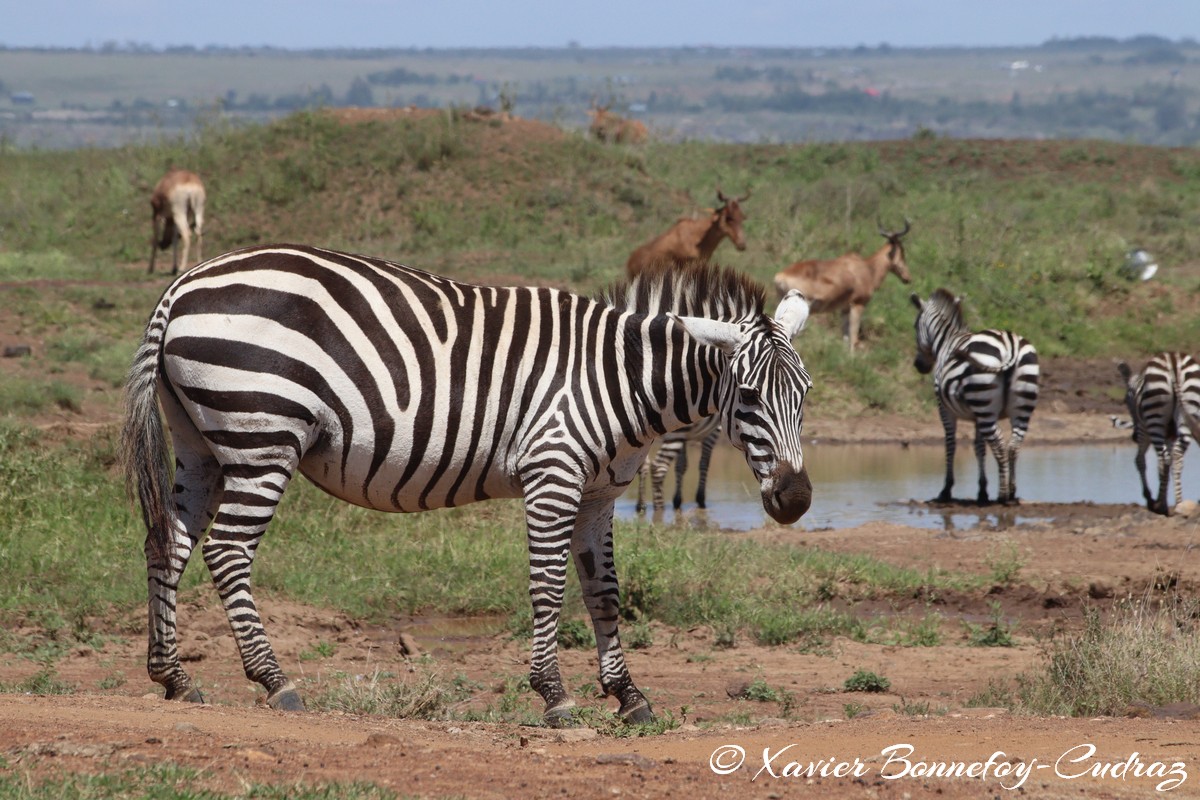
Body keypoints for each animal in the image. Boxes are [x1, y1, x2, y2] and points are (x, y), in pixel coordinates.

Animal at [121, 247, 816, 729]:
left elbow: (605, 595)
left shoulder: (598, 494)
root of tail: (181, 286)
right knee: (227, 551)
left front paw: (629, 697)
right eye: (748, 395)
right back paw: (275, 682)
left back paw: (174, 677)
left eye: (806, 394)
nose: (797, 501)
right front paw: (555, 697)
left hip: (201, 445)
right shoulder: (553, 474)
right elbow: (549, 588)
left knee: (167, 545)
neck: (619, 379)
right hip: (263, 435)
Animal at [772, 220, 912, 355]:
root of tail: (780, 276)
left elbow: (845, 336)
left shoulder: (844, 308)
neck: (866, 268)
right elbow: (854, 335)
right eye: (902, 251)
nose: (907, 278)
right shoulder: (858, 304)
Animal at [912, 289, 1036, 506]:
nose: (919, 365)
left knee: (1000, 445)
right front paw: (982, 491)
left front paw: (946, 490)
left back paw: (1002, 494)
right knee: (1013, 445)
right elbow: (979, 447)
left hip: (985, 406)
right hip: (1017, 406)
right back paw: (1012, 493)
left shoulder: (944, 409)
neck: (946, 341)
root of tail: (1010, 344)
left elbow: (950, 444)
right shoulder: (977, 415)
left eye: (914, 326)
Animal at [1113, 352, 1200, 515]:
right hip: (1188, 414)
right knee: (1176, 456)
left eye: (1126, 400)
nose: (1133, 437)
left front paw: (1150, 498)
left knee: (1162, 458)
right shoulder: (1170, 435)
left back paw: (1163, 505)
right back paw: (1179, 503)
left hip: (1154, 419)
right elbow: (1169, 462)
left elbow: (1140, 460)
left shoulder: (1143, 429)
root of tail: (1174, 361)